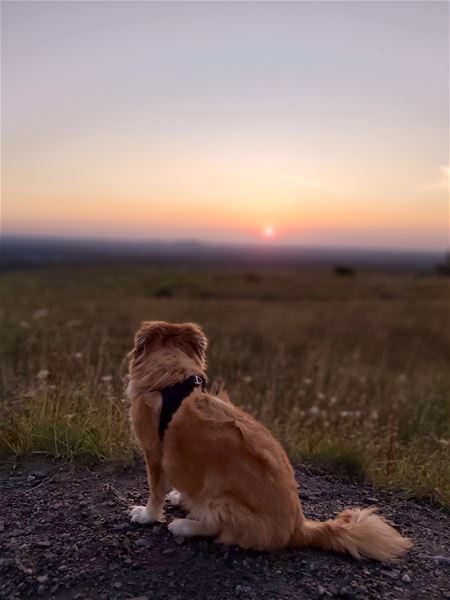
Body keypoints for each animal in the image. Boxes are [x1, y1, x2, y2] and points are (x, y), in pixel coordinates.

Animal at [125, 322, 412, 560]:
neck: (173, 380)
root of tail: (298, 528)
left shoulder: (154, 453)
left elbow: (155, 490)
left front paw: (148, 516)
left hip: (221, 502)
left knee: (217, 529)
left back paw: (184, 525)